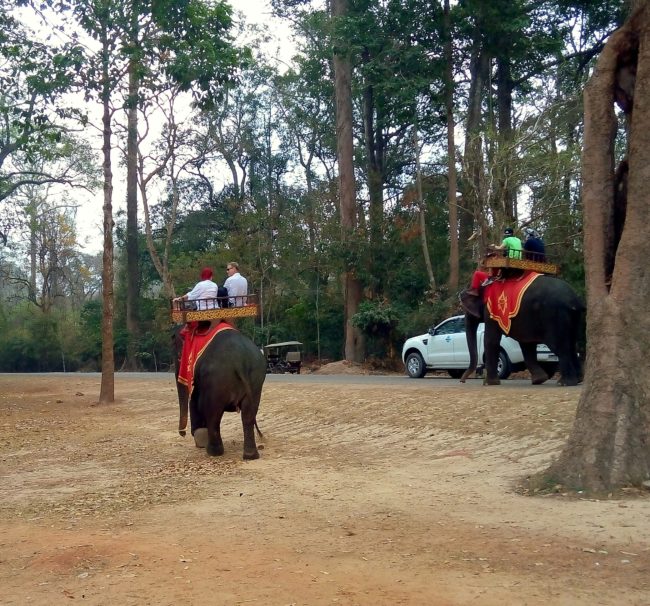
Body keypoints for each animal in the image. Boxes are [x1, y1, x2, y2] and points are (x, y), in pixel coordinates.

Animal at [173, 325, 267, 459]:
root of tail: (239, 360)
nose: (182, 433)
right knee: (248, 413)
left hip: (216, 379)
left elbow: (196, 400)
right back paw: (251, 455)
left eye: (179, 356)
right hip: (256, 378)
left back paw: (213, 452)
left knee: (213, 412)